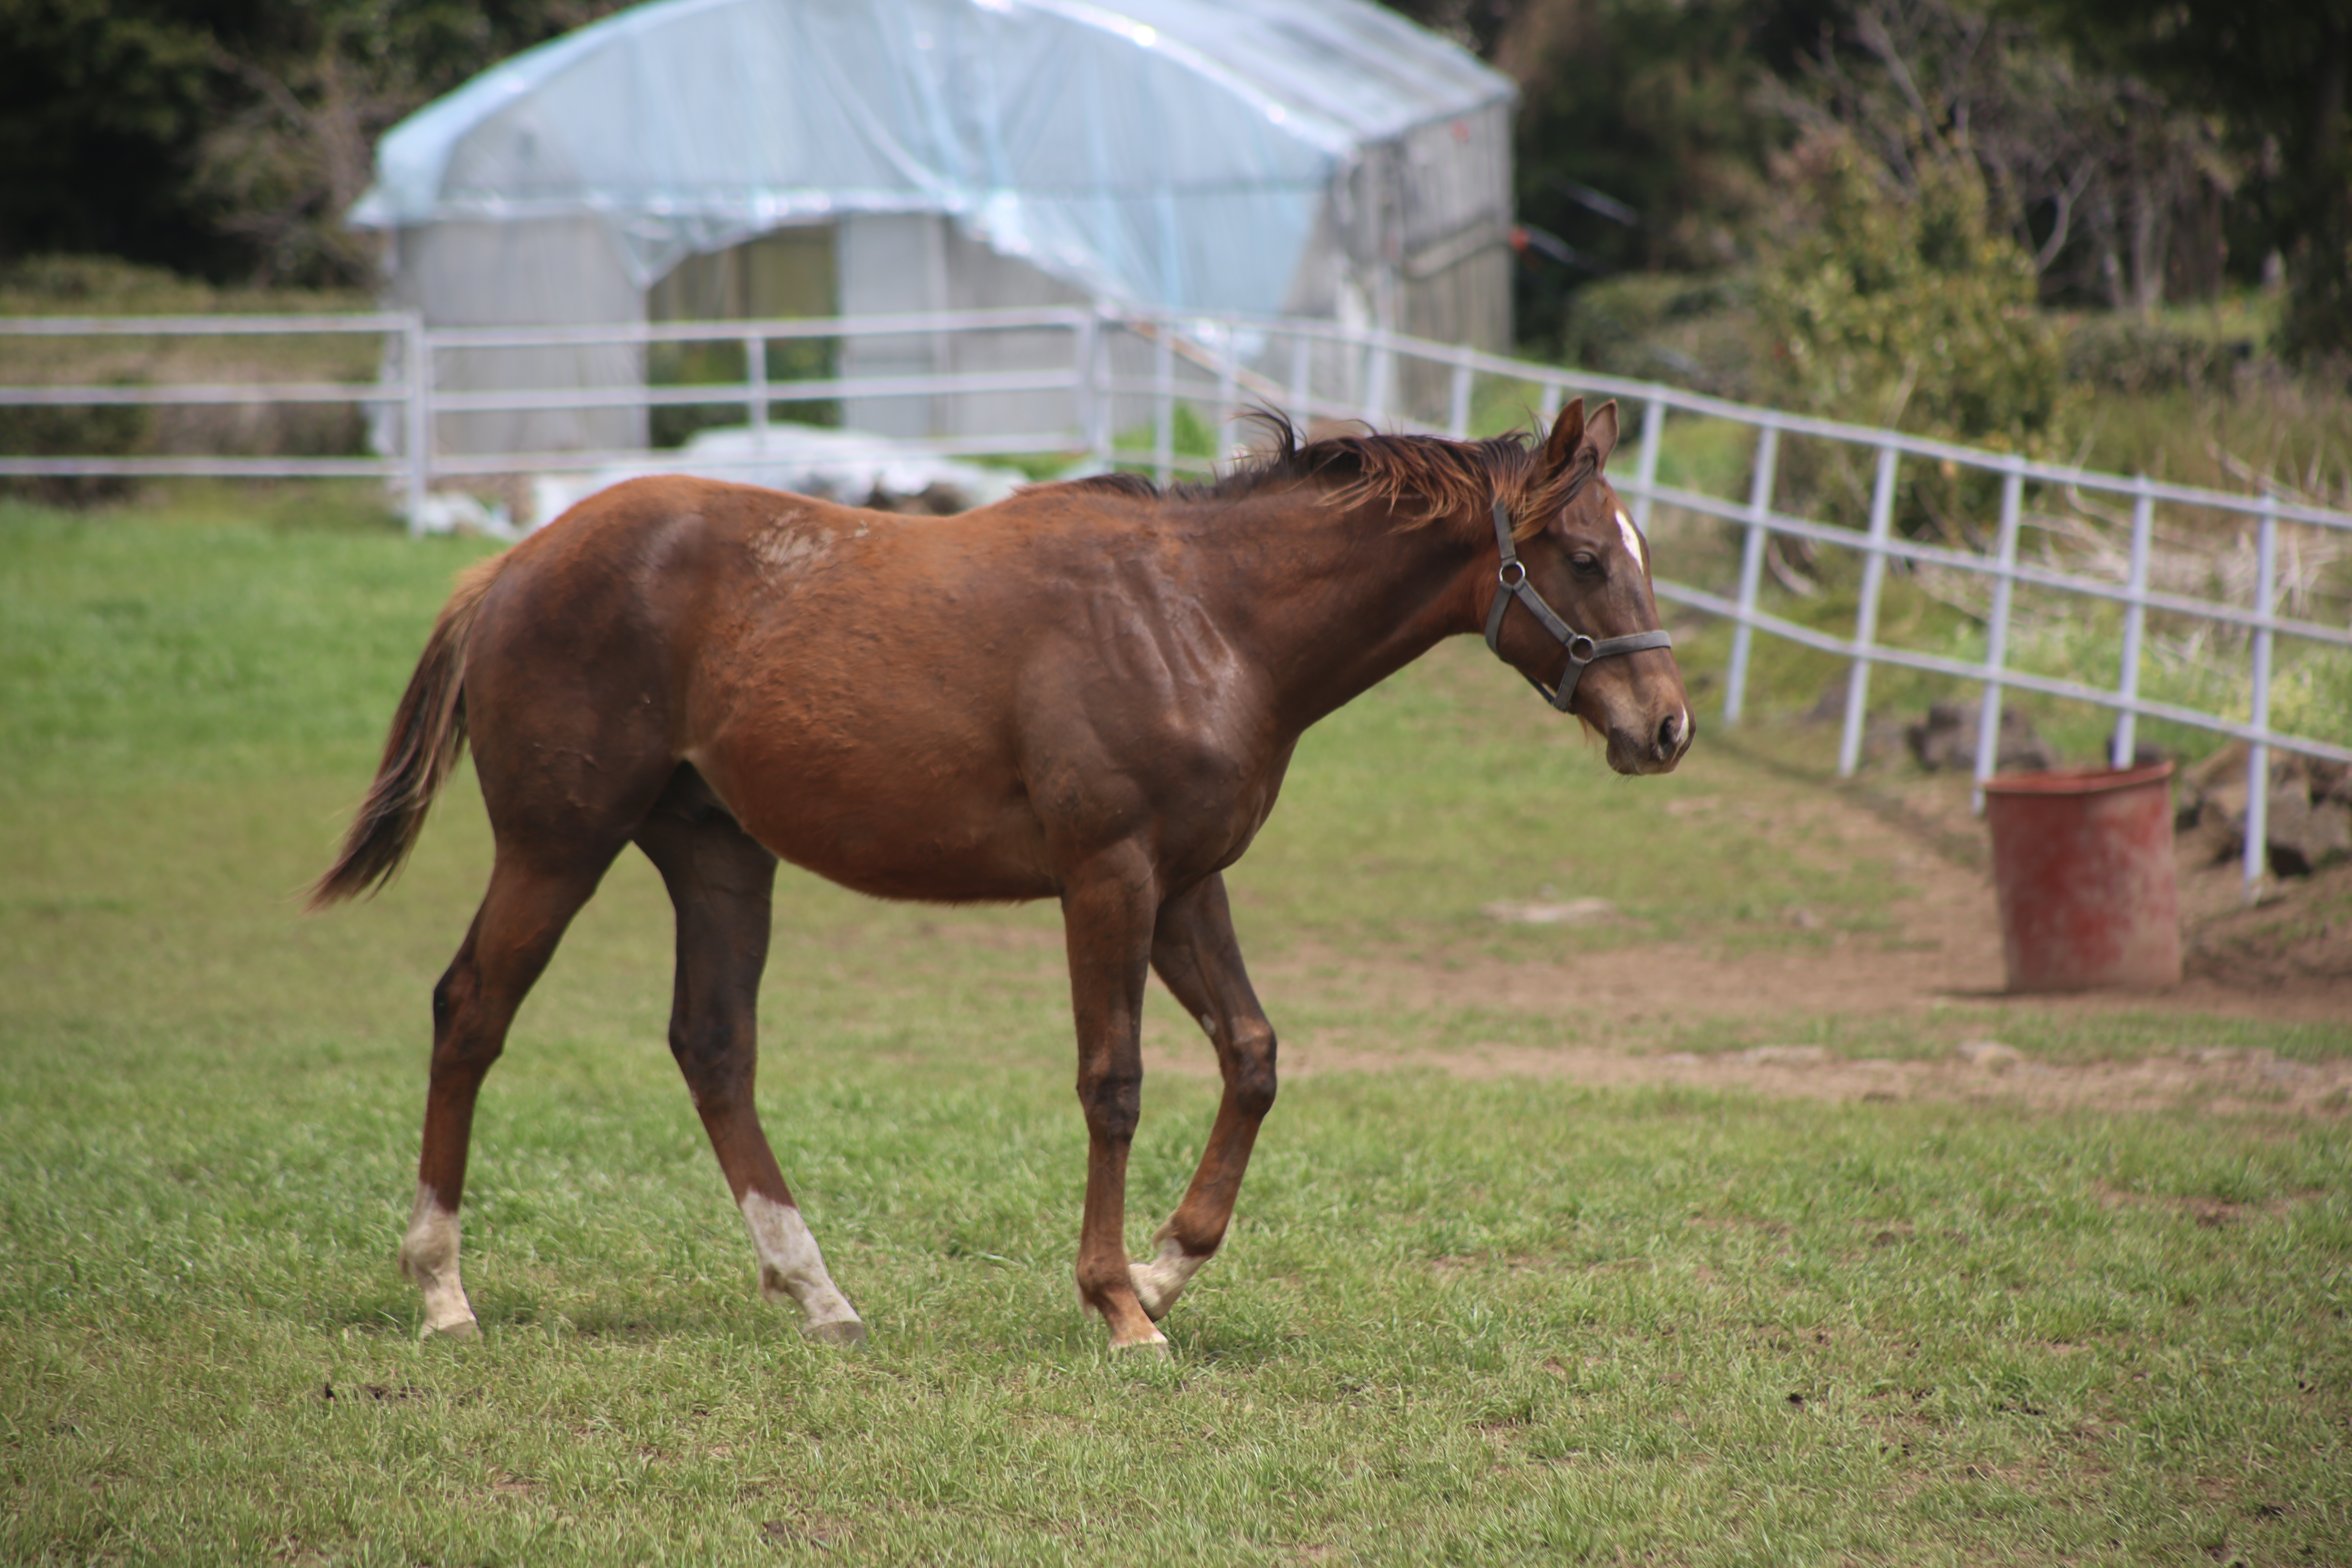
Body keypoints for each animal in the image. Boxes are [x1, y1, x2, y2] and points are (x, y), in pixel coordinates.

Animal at [317, 399, 1693, 1354]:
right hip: (559, 845)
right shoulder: (1110, 877)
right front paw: (1119, 1307)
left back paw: (820, 1296)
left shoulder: (1188, 884)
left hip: (716, 853)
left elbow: (1252, 1055)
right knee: (472, 1011)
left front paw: (1167, 1266)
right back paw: (443, 1289)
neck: (1209, 619)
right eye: (1583, 557)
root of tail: (511, 566)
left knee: (713, 1048)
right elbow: (1114, 1085)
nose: (1668, 727)